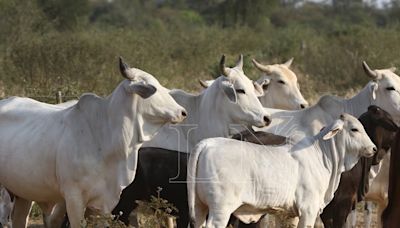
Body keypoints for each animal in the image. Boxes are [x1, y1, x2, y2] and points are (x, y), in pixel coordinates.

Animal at [188, 114, 376, 228]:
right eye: (354, 129)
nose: (373, 148)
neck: (323, 155)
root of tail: (206, 143)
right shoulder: (308, 210)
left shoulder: (290, 213)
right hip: (221, 209)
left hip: (199, 206)